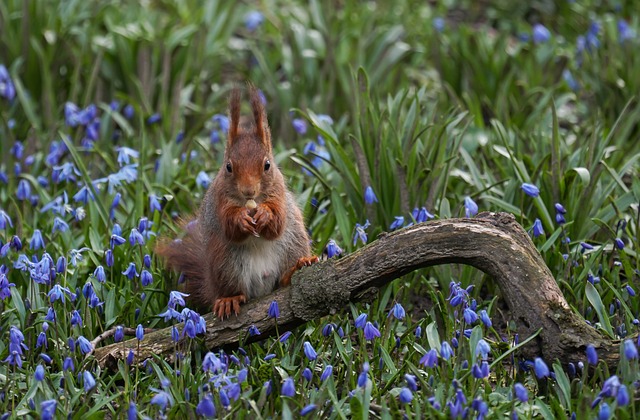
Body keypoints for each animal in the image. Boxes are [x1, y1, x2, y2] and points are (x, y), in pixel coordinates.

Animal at [158, 84, 318, 318]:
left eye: (267, 165)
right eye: (228, 167)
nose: (248, 191)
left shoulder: (278, 193)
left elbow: (277, 222)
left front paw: (265, 214)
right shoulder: (219, 200)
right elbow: (229, 225)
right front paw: (240, 219)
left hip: (294, 243)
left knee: (283, 279)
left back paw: (297, 267)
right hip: (226, 263)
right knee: (235, 289)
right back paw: (229, 299)